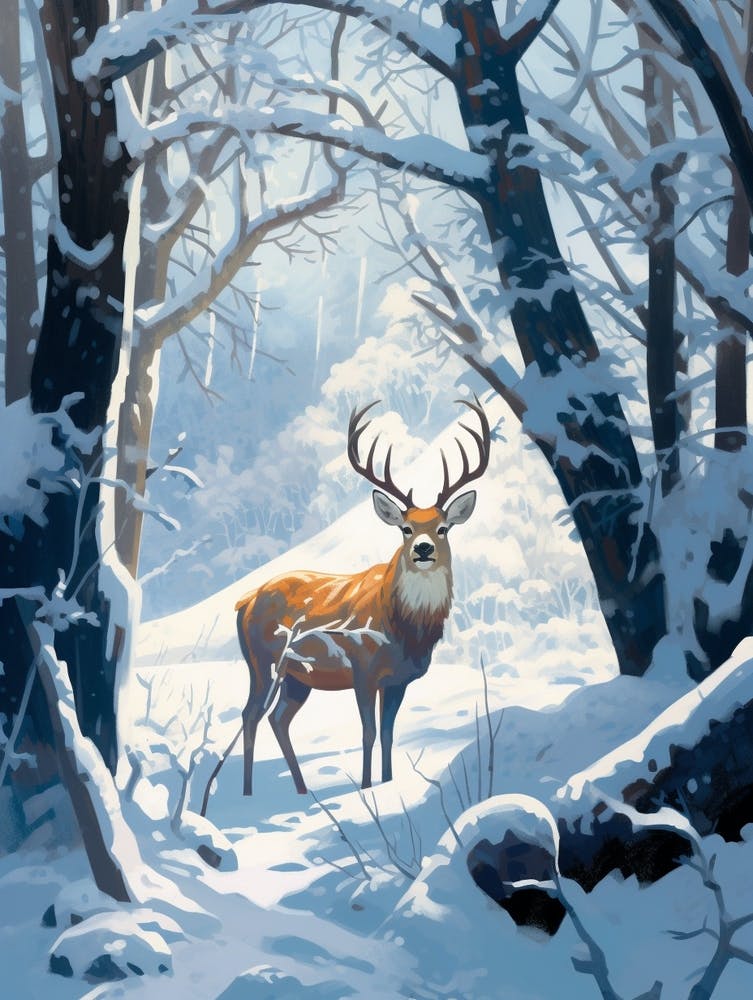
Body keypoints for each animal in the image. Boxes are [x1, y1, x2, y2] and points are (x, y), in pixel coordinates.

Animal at [234, 397, 491, 795]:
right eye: (405, 528)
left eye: (444, 528)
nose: (423, 549)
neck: (404, 627)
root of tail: (244, 602)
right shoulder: (363, 669)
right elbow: (368, 733)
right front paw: (368, 786)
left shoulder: (397, 681)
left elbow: (387, 735)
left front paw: (387, 782)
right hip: (261, 661)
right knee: (250, 715)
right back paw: (247, 794)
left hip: (296, 677)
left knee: (278, 719)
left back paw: (302, 789)